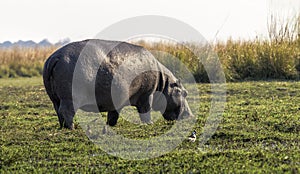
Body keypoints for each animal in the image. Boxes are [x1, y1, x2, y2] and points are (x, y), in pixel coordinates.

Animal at [42, 39, 195, 129]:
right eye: (184, 92)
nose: (191, 115)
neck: (164, 83)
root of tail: (55, 57)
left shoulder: (117, 99)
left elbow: (113, 114)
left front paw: (110, 125)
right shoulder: (147, 94)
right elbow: (145, 110)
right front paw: (149, 124)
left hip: (55, 98)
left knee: (58, 111)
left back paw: (63, 127)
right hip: (70, 98)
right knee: (66, 111)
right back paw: (72, 128)